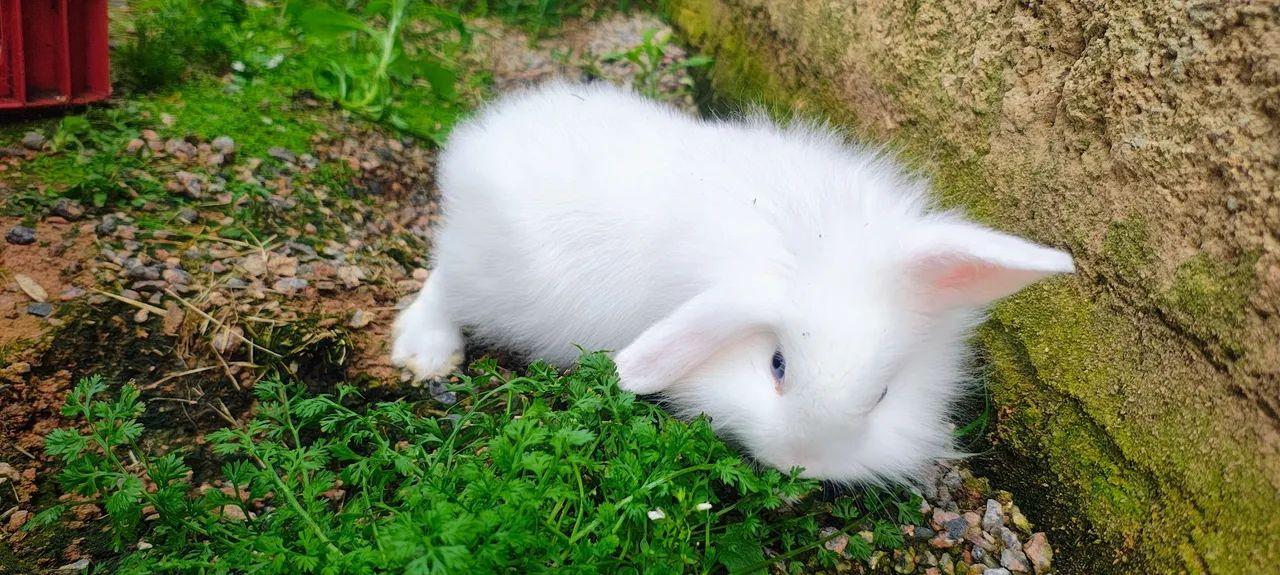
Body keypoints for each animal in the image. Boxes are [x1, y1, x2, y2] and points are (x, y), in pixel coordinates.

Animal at [391, 80, 1074, 483]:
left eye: (883, 395)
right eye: (776, 366)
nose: (800, 465)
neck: (810, 245)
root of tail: (479, 142)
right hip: (486, 275)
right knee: (441, 282)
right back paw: (426, 353)